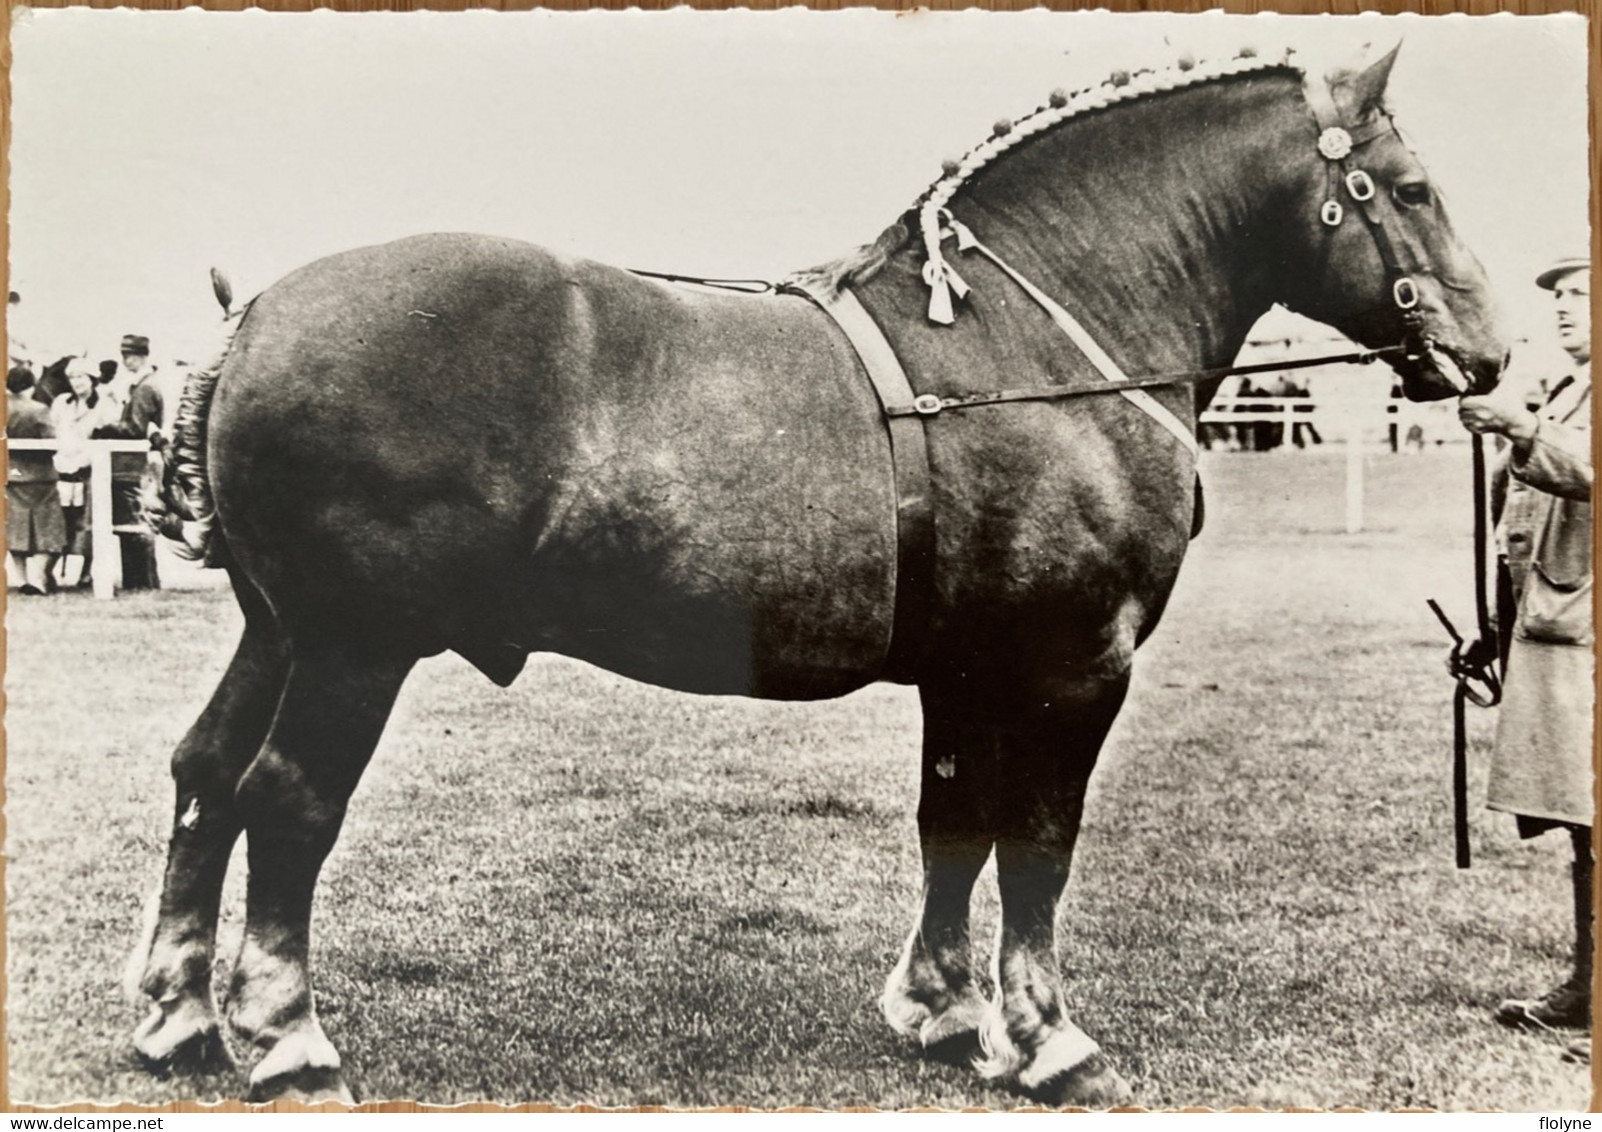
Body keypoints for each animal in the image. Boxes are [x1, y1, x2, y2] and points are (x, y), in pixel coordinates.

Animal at [128, 48, 1499, 1101]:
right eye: (1412, 187)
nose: (1488, 354)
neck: (1032, 348)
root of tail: (255, 313)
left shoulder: (969, 670)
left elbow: (954, 823)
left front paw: (944, 1010)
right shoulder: (1074, 667)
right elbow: (1039, 839)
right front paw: (1051, 1038)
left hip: (277, 629)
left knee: (206, 775)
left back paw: (179, 1017)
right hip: (356, 646)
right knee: (287, 799)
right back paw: (288, 1038)